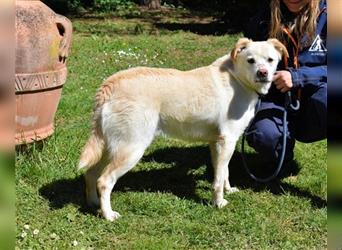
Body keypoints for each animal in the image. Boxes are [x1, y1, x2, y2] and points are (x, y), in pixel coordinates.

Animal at [78, 37, 288, 221]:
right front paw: (218, 203)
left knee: (90, 174)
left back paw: (93, 204)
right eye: (251, 60)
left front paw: (229, 190)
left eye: (270, 60)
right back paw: (108, 215)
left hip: (110, 147)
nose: (263, 73)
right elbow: (218, 179)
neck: (237, 78)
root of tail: (110, 84)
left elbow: (224, 172)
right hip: (131, 149)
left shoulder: (217, 142)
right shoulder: (226, 140)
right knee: (104, 181)